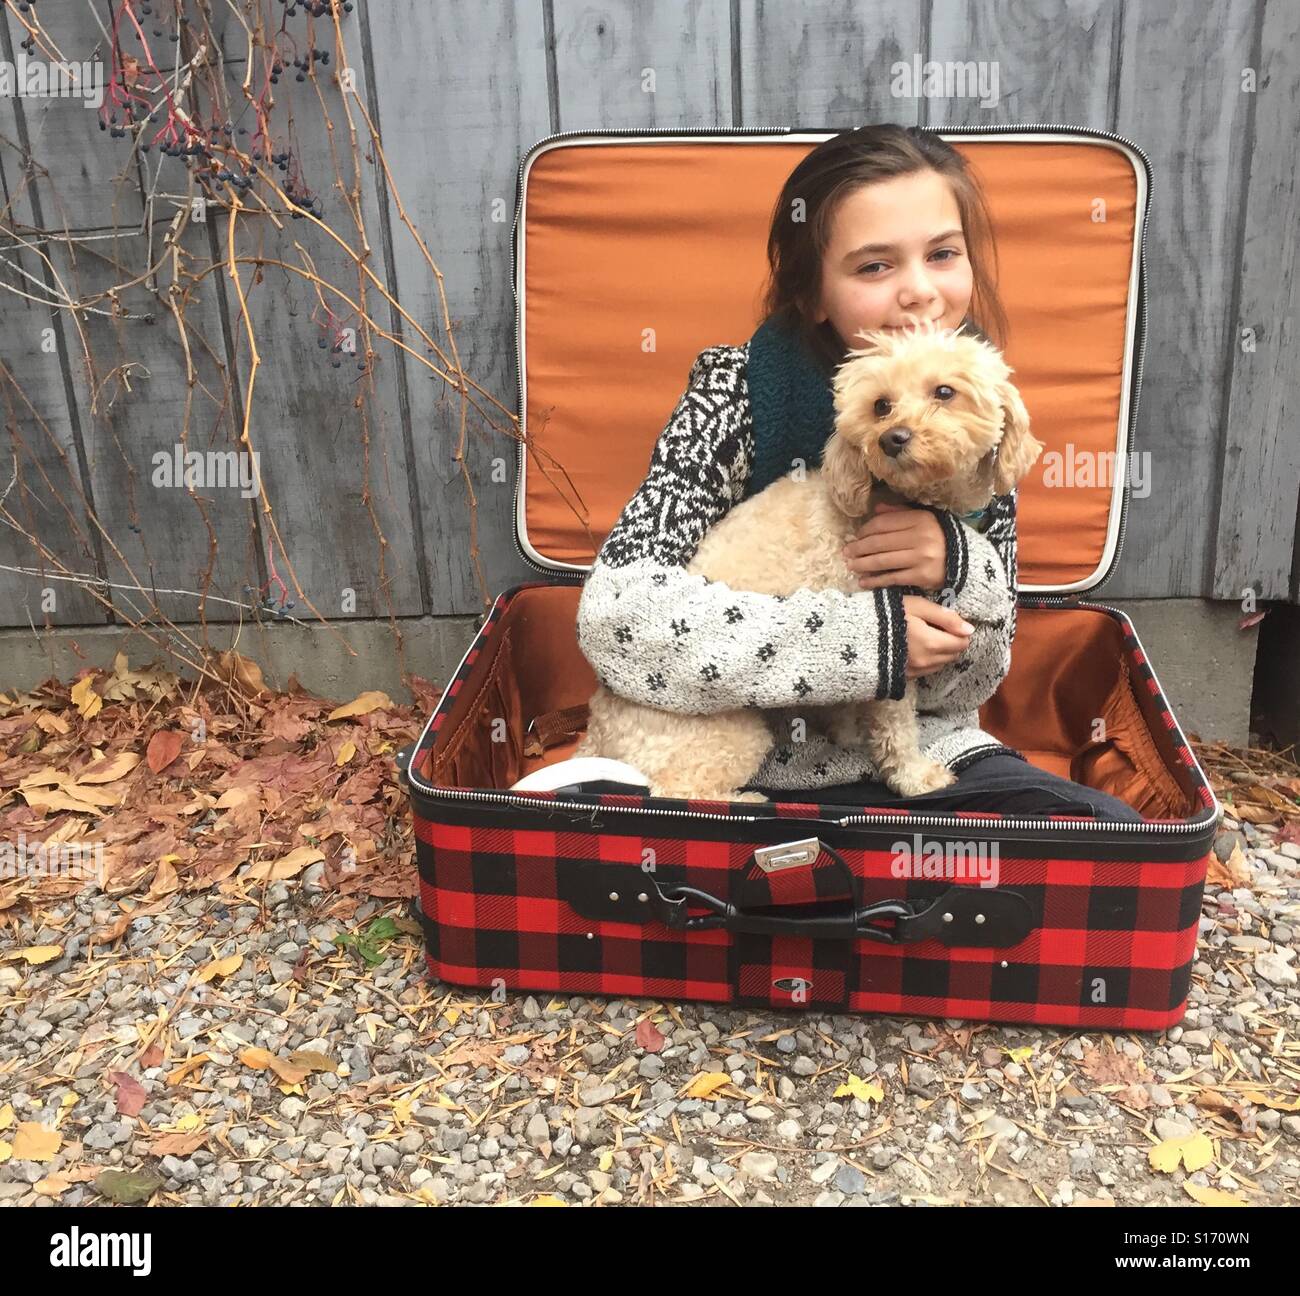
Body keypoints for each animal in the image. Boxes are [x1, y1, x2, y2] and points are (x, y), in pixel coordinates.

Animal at [579, 321, 1045, 800]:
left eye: (946, 392)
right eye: (881, 405)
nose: (892, 439)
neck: (901, 500)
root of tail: (598, 732)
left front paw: (851, 733)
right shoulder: (900, 652)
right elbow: (897, 725)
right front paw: (914, 775)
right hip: (730, 731)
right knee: (678, 788)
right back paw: (745, 796)